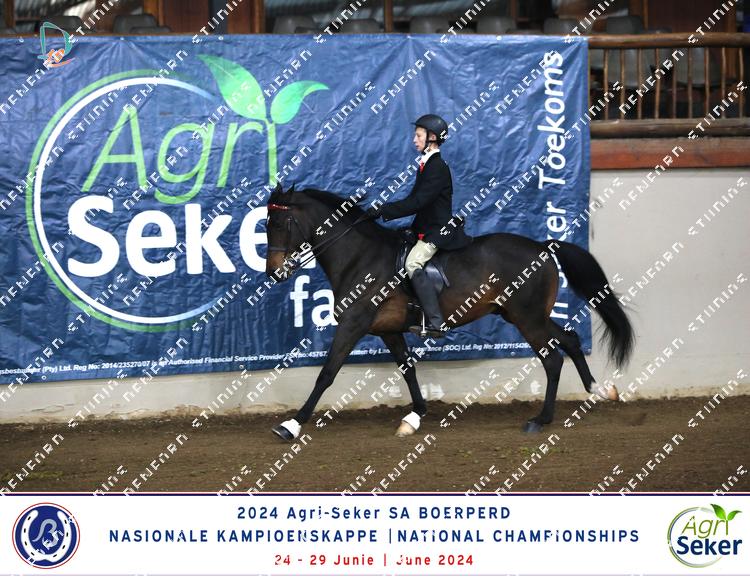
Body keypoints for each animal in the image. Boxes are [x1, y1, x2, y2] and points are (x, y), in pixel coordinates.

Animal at [263, 183, 633, 441]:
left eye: (280, 223)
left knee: (553, 358)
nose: (274, 273)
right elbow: (408, 369)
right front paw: (414, 417)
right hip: (523, 316)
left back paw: (539, 420)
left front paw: (291, 425)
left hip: (528, 319)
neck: (359, 256)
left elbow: (327, 373)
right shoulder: (388, 331)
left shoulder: (353, 324)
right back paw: (598, 390)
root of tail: (543, 246)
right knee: (570, 339)